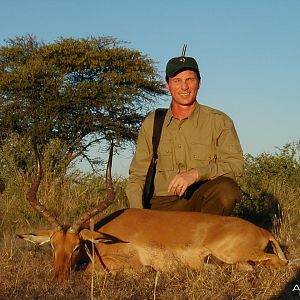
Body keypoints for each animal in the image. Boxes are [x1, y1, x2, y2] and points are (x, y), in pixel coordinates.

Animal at [19, 145, 288, 282]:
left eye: (77, 246)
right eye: (52, 245)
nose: (57, 277)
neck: (104, 238)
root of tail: (262, 230)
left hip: (232, 254)